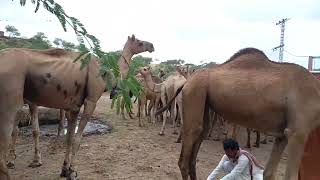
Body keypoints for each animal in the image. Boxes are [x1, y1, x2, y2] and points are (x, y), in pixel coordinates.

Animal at [0, 34, 154, 179]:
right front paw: (73, 171)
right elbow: (77, 139)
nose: (152, 46)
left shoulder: (72, 107)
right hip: (10, 103)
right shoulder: (91, 101)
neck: (105, 74)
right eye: (139, 42)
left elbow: (69, 138)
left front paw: (64, 169)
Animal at [156, 47, 320, 180]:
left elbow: (268, 173)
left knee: (197, 145)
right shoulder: (298, 132)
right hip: (195, 92)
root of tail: (187, 81)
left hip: (202, 101)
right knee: (185, 154)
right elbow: (290, 176)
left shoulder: (282, 135)